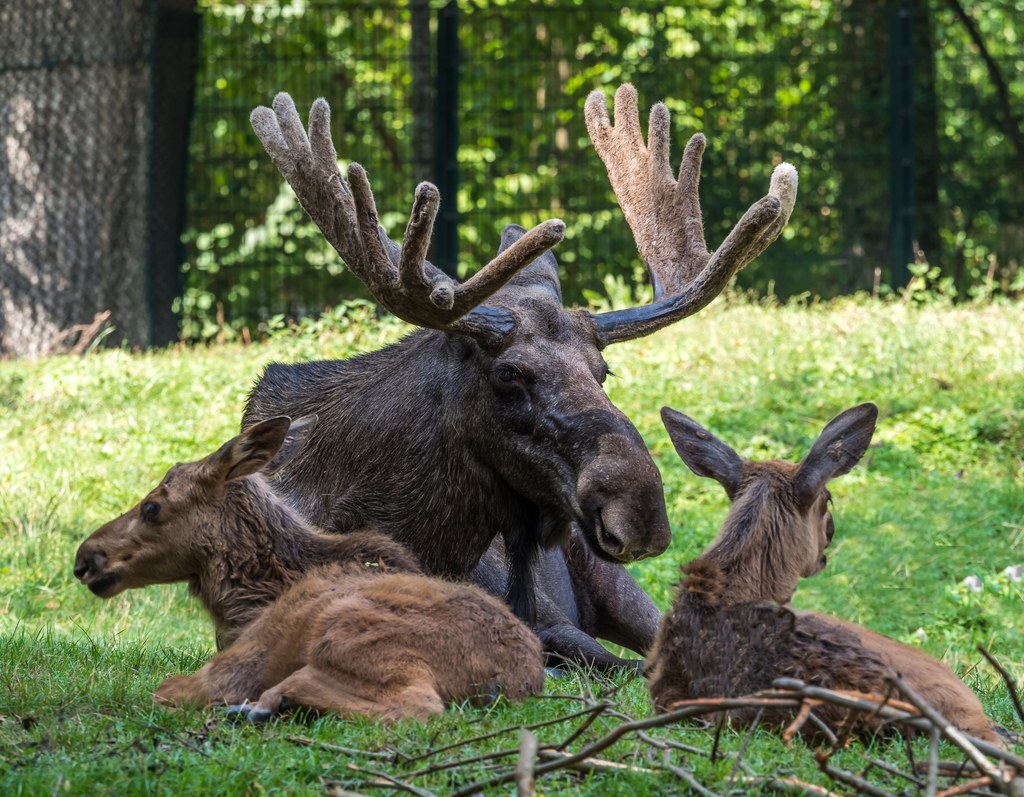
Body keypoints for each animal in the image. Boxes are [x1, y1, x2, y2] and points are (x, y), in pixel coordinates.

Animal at [74, 415, 544, 721]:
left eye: (152, 506)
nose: (84, 559)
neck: (246, 606)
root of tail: (510, 681)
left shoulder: (235, 661)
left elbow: (164, 690)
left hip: (350, 631)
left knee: (417, 706)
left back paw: (267, 702)